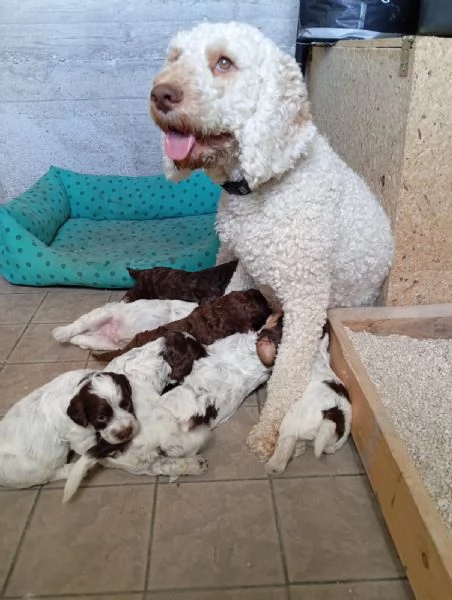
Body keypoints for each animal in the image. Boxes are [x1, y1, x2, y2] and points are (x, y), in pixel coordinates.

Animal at [0, 370, 138, 492]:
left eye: (127, 404)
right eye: (101, 417)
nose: (126, 432)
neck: (76, 388)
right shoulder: (81, 438)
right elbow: (93, 450)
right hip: (25, 469)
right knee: (49, 475)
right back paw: (71, 469)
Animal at [52, 296, 197, 350]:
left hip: (108, 344)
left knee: (84, 338)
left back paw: (76, 340)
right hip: (104, 313)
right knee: (80, 323)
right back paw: (61, 333)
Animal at [150, 21, 394, 458]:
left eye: (224, 62)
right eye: (174, 57)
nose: (160, 94)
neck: (262, 186)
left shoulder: (306, 299)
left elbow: (286, 374)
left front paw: (268, 430)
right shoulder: (244, 268)